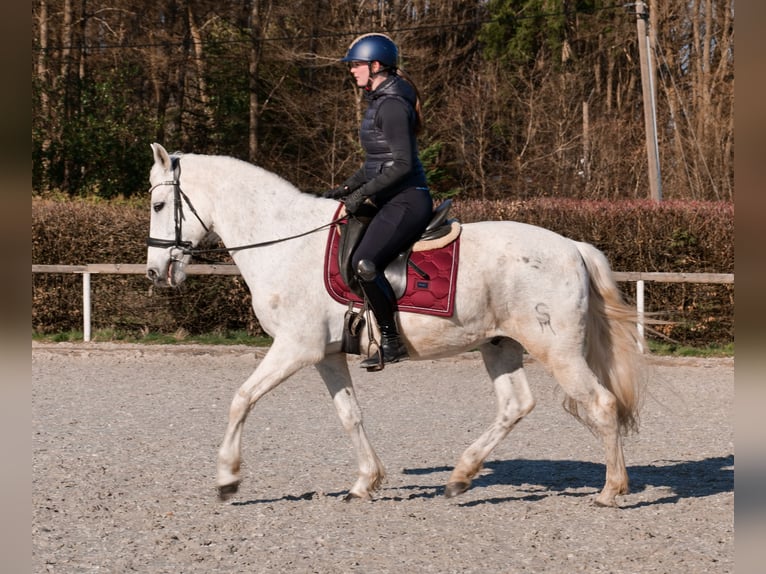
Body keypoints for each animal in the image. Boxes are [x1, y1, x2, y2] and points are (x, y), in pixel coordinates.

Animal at [145, 142, 645, 507]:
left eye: (159, 204)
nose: (154, 272)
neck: (284, 243)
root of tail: (573, 246)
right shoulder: (325, 354)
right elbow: (349, 415)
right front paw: (365, 483)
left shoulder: (295, 347)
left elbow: (241, 399)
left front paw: (227, 478)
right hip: (499, 344)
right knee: (515, 405)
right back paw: (460, 476)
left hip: (556, 350)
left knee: (601, 404)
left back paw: (610, 490)